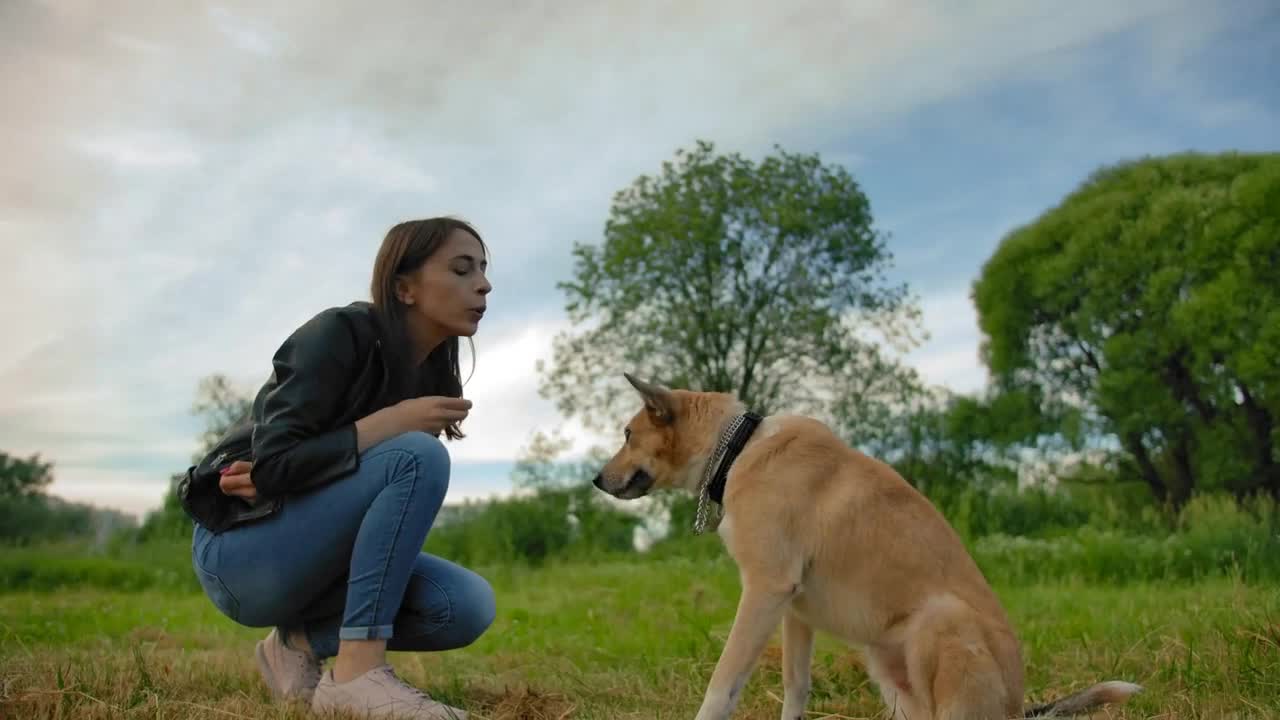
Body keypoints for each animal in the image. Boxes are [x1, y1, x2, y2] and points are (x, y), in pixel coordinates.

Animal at [588, 371, 1141, 717]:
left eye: (628, 434)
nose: (595, 480)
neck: (737, 449)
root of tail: (1017, 710)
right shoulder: (793, 611)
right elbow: (795, 689)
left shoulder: (764, 591)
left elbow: (721, 687)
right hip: (885, 664)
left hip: (940, 620)